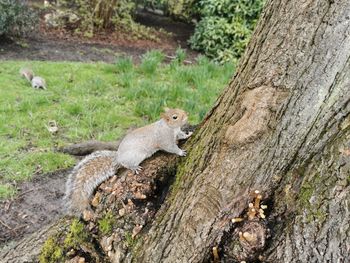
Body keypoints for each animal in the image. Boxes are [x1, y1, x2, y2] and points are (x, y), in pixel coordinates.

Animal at [64, 108, 193, 217]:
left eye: (179, 109)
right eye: (175, 117)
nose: (187, 114)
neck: (169, 127)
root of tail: (118, 158)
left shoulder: (177, 133)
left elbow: (181, 136)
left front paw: (188, 135)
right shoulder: (165, 140)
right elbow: (171, 147)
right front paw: (180, 152)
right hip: (136, 156)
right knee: (126, 164)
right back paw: (134, 167)